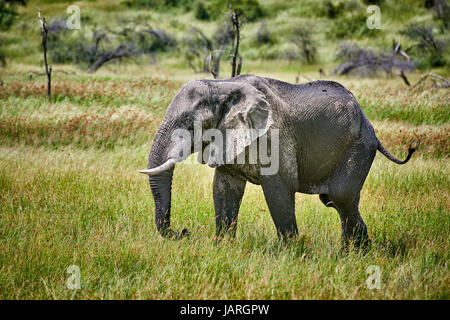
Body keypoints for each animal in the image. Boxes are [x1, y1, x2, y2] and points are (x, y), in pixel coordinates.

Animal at [140, 74, 418, 248]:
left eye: (189, 122)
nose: (183, 232)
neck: (222, 85)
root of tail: (372, 129)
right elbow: (224, 189)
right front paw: (222, 247)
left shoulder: (276, 137)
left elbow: (279, 189)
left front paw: (291, 254)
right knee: (336, 202)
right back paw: (354, 253)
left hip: (358, 148)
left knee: (341, 198)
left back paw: (354, 255)